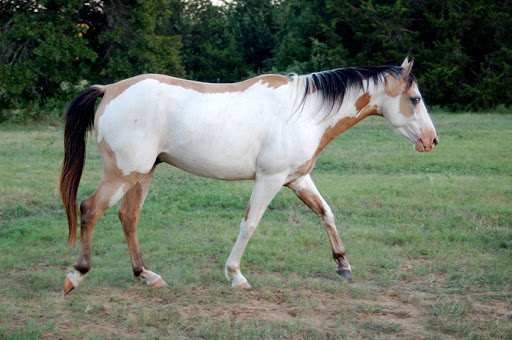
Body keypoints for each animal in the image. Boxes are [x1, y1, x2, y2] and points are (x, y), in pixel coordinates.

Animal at [59, 57, 436, 294]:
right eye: (415, 99)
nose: (431, 141)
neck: (303, 112)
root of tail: (109, 89)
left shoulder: (297, 178)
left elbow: (325, 212)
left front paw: (343, 265)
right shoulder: (269, 179)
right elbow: (250, 224)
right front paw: (236, 275)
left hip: (142, 174)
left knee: (128, 217)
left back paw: (147, 275)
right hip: (124, 173)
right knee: (90, 209)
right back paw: (76, 275)